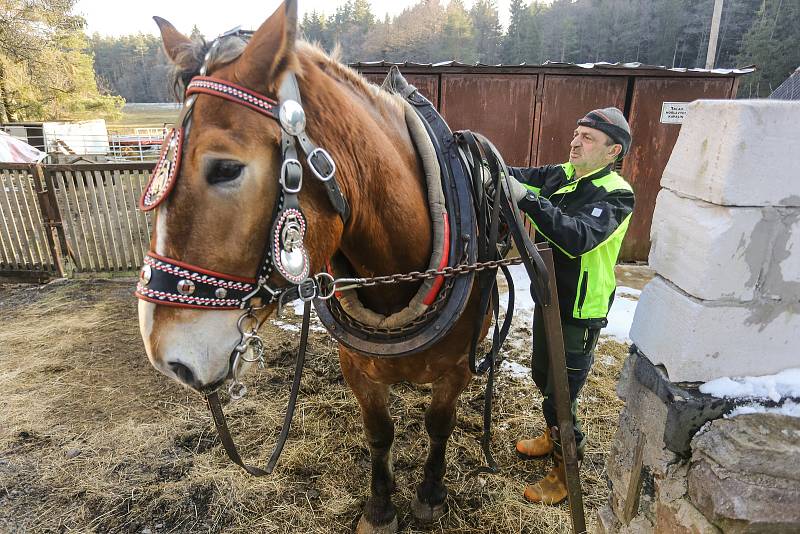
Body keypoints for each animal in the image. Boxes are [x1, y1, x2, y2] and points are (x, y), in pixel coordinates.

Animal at [140, 2, 494, 532]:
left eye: (226, 169)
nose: (168, 359)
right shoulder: (358, 369)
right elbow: (379, 431)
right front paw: (380, 508)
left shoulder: (456, 370)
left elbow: (439, 424)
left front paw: (430, 494)